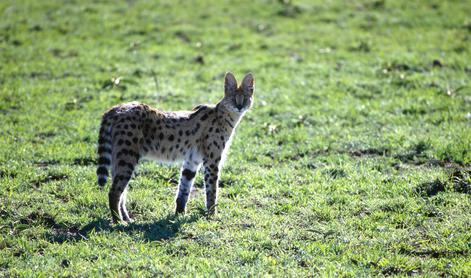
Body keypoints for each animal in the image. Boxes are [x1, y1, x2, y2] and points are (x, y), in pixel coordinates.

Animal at [93, 73, 253, 223]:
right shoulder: (212, 161)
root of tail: (115, 108)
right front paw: (212, 215)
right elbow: (212, 190)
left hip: (120, 157)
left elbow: (184, 189)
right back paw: (118, 222)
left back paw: (126, 218)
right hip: (127, 157)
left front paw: (179, 215)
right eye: (233, 98)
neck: (223, 116)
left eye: (245, 97)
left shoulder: (192, 161)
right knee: (114, 191)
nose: (239, 106)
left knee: (121, 192)